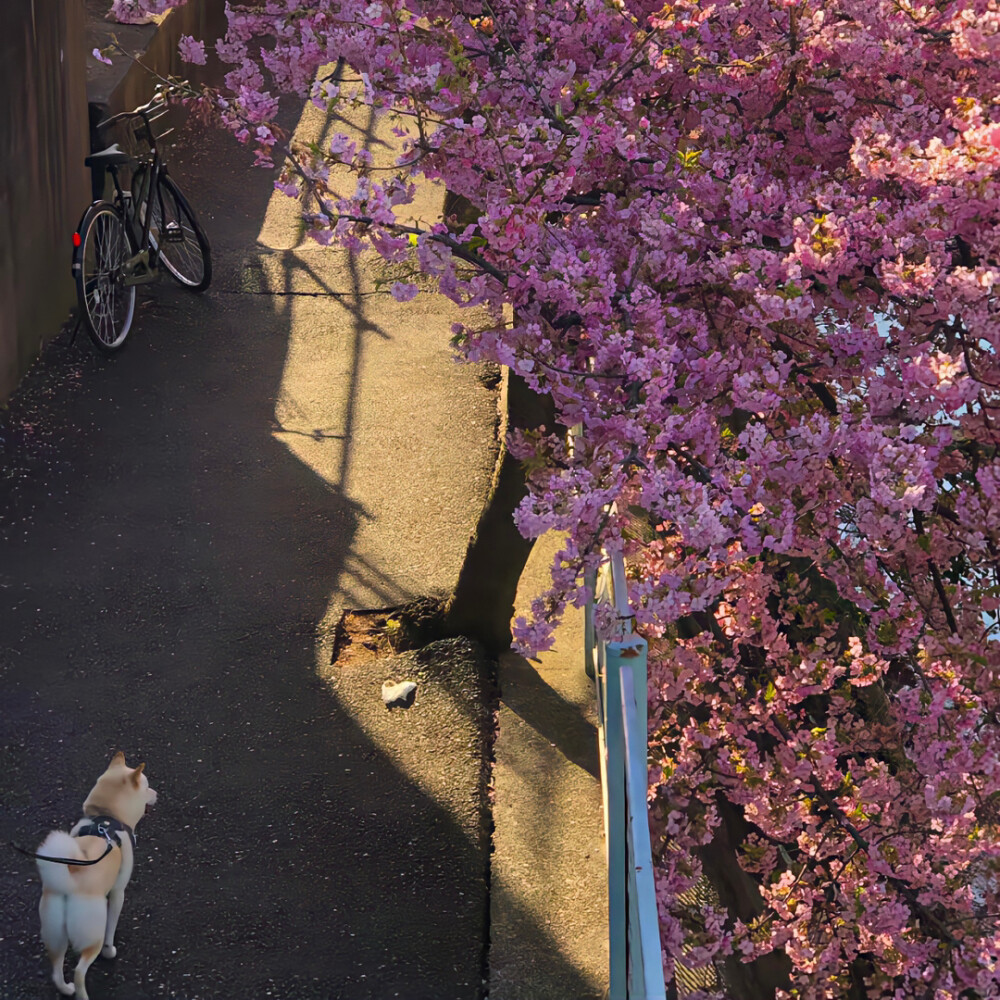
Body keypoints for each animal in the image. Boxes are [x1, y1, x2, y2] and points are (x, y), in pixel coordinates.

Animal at [33, 752, 155, 996]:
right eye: (147, 787)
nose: (156, 793)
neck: (105, 817)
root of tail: (70, 881)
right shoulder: (118, 892)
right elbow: (112, 926)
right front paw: (111, 951)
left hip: (54, 934)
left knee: (56, 970)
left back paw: (66, 989)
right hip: (91, 936)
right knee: (80, 971)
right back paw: (81, 992)